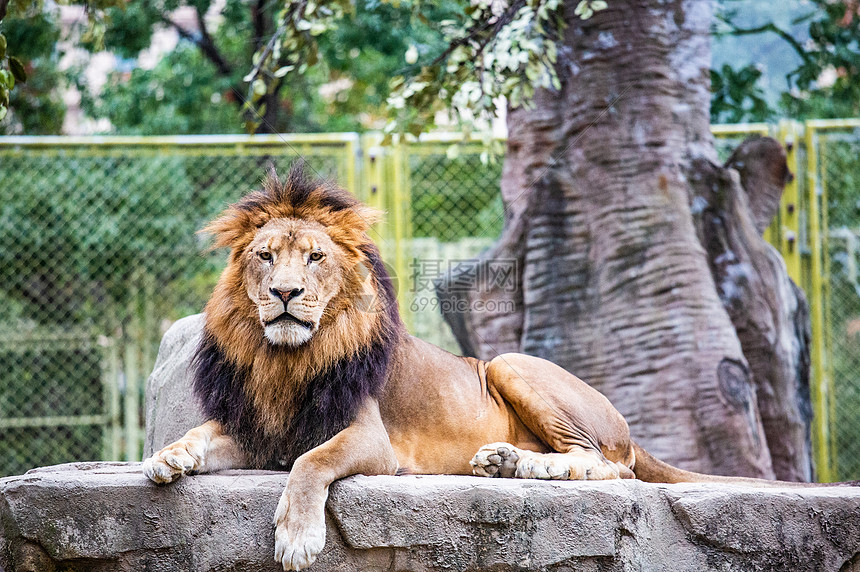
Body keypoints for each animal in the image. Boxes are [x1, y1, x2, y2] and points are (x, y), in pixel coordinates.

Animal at [146, 164, 828, 568]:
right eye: (265, 256)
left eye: (314, 258)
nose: (284, 293)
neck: (284, 357)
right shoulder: (258, 427)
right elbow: (202, 434)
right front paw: (168, 458)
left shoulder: (368, 438)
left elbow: (312, 463)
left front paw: (296, 536)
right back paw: (505, 462)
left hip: (511, 363)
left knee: (610, 468)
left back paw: (533, 466)